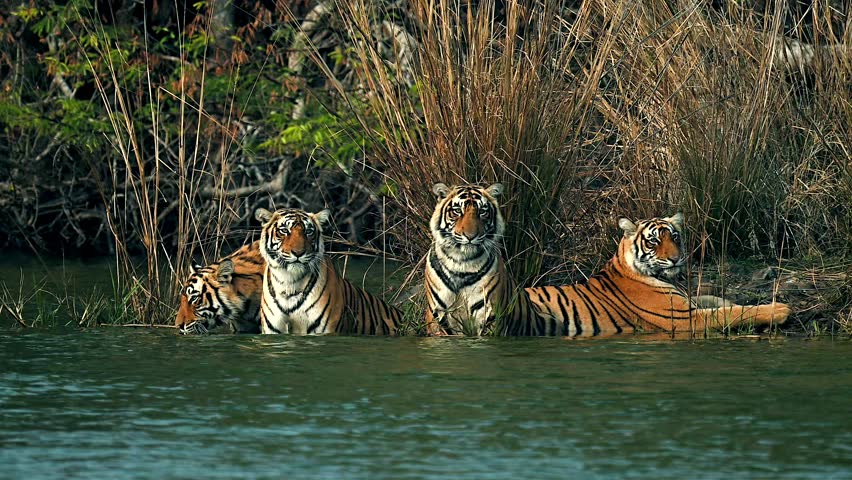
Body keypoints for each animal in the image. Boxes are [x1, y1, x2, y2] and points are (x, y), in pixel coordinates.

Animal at [424, 183, 541, 336]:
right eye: (457, 211)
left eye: (482, 212)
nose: (470, 236)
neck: (461, 262)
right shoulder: (440, 316)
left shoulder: (489, 315)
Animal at [514, 213, 792, 336]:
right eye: (653, 241)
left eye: (675, 237)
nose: (676, 258)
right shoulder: (684, 318)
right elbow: (731, 312)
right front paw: (779, 309)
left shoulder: (687, 302)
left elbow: (718, 301)